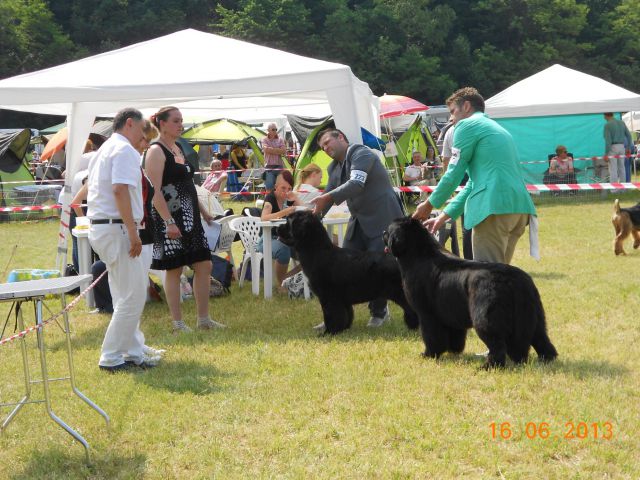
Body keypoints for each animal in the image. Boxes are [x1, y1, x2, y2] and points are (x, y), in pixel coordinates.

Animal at [276, 211, 420, 334]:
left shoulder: (329, 296)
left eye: (288, 222)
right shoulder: (342, 299)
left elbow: (331, 315)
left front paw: (328, 332)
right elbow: (346, 314)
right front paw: (343, 329)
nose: (276, 228)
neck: (318, 252)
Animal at [382, 218, 556, 368]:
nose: (383, 232)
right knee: (541, 338)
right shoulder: (451, 312)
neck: (418, 254)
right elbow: (456, 335)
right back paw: (547, 359)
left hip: (486, 317)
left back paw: (488, 366)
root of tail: (515, 280)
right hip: (535, 314)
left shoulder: (426, 314)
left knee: (497, 344)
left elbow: (431, 336)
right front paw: (454, 351)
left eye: (388, 231)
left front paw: (429, 354)